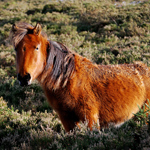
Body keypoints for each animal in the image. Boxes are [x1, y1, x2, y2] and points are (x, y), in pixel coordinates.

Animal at [9, 22, 150, 131]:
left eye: (36, 47)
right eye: (16, 49)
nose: (24, 78)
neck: (66, 81)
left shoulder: (90, 118)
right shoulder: (66, 119)